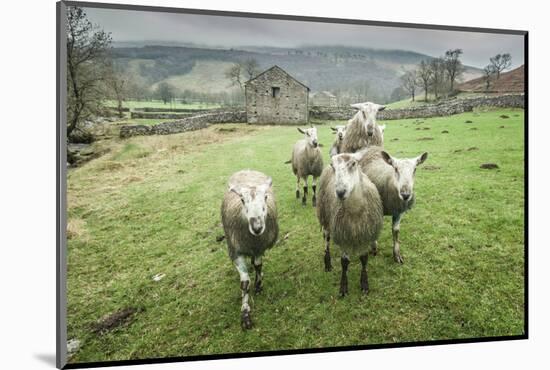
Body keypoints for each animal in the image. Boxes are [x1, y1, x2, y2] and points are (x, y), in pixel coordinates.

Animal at [221, 171, 280, 330]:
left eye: (265, 197)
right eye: (242, 199)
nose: (257, 227)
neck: (253, 238)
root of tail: (247, 170)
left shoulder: (259, 247)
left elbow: (258, 265)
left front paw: (258, 285)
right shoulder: (236, 252)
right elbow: (245, 284)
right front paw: (245, 313)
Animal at [314, 149, 384, 296]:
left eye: (353, 163)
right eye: (333, 166)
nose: (340, 192)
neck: (355, 210)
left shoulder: (365, 234)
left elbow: (364, 258)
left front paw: (364, 284)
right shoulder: (343, 235)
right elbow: (344, 262)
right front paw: (343, 287)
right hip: (325, 216)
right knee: (326, 239)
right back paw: (327, 263)